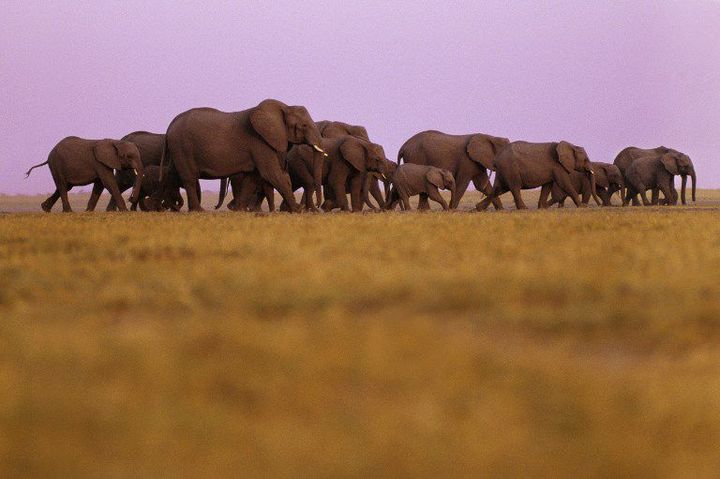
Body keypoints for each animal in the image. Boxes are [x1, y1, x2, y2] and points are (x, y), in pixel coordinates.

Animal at [163, 99, 324, 212]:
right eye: (304, 126)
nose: (318, 205)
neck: (285, 106)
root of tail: (171, 124)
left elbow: (253, 178)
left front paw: (240, 210)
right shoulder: (260, 141)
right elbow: (272, 173)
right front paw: (298, 210)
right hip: (182, 146)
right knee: (189, 178)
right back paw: (199, 211)